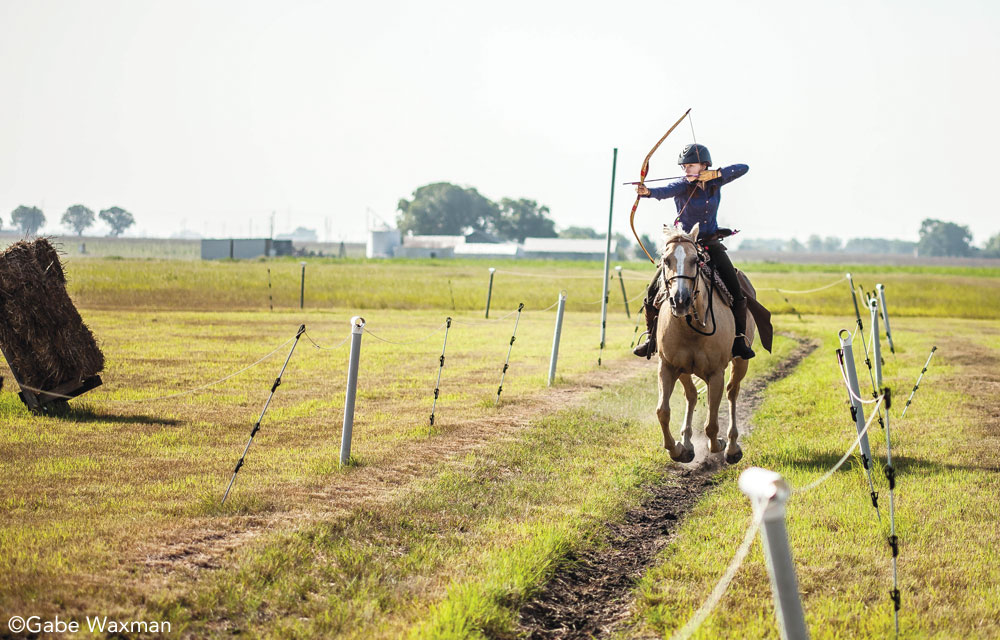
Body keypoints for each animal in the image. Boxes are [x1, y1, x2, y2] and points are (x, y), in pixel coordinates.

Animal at [652, 222, 752, 462]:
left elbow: (711, 424)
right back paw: (688, 443)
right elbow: (663, 412)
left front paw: (720, 444)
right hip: (684, 370)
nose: (680, 300)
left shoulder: (716, 373)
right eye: (666, 260)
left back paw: (732, 447)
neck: (690, 326)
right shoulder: (667, 367)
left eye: (695, 260)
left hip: (740, 363)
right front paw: (677, 450)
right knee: (691, 395)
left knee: (732, 393)